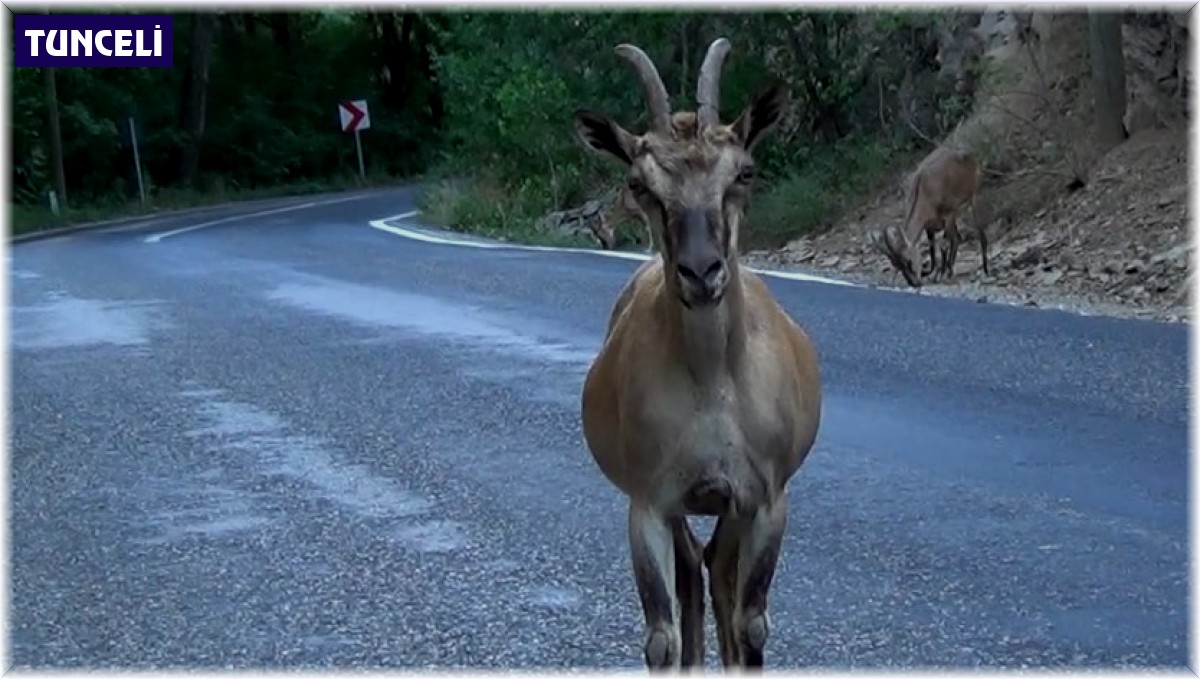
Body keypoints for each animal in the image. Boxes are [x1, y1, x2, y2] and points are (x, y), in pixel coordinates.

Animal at [573, 37, 820, 671]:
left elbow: (752, 622)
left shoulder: (765, 497)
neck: (713, 385)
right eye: (640, 183)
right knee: (693, 570)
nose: (702, 272)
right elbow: (660, 635)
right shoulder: (650, 501)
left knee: (716, 569)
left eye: (744, 173)